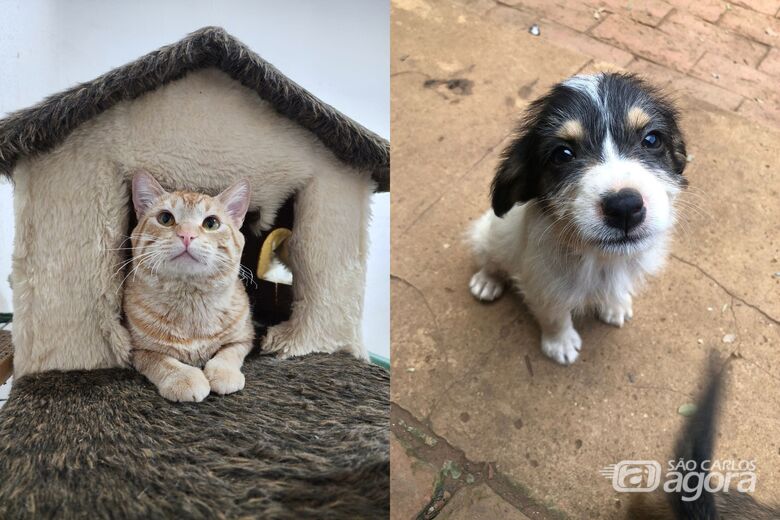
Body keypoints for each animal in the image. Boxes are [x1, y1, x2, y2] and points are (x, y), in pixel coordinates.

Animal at [122, 171, 253, 402]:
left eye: (211, 223)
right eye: (165, 218)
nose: (186, 235)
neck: (190, 299)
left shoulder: (245, 337)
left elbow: (228, 353)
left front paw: (224, 373)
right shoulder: (138, 350)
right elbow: (163, 361)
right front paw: (183, 378)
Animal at [466, 73, 684, 366]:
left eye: (651, 140)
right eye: (563, 154)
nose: (625, 207)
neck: (601, 260)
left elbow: (616, 290)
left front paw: (615, 305)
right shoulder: (543, 285)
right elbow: (554, 316)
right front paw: (561, 344)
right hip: (488, 234)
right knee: (490, 258)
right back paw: (487, 282)